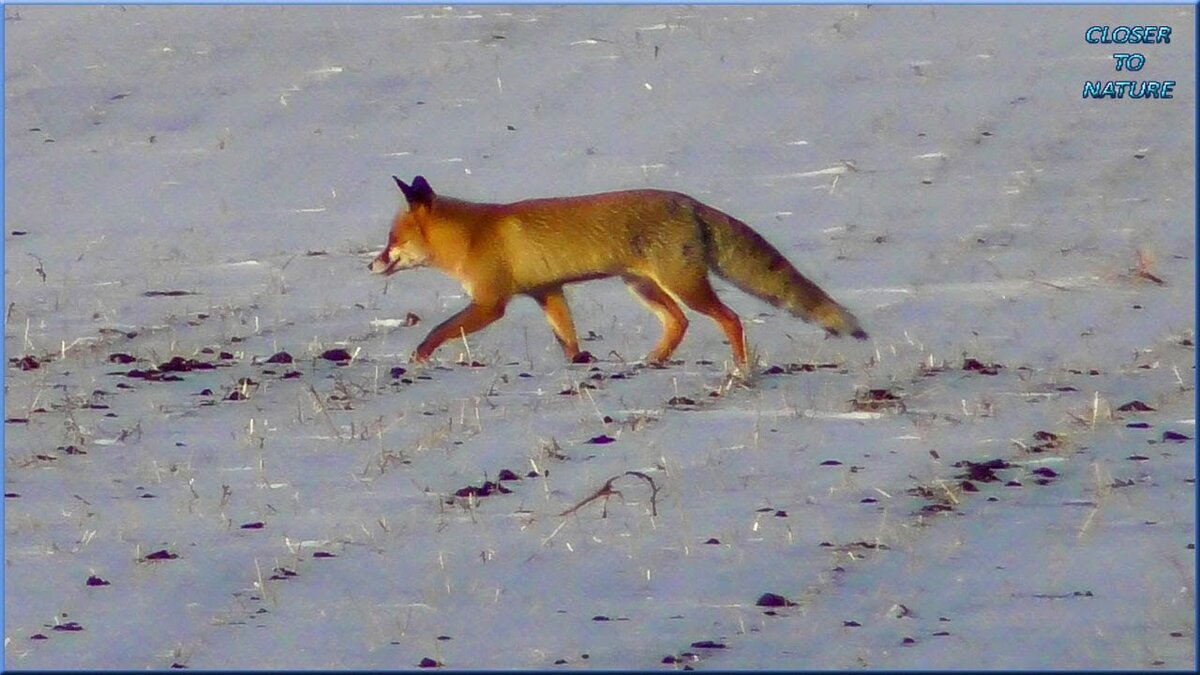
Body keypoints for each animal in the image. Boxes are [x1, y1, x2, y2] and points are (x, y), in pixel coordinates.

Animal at [369, 172, 868, 362]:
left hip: (683, 285)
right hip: (644, 287)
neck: (473, 235)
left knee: (730, 319)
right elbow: (567, 338)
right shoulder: (547, 292)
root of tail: (690, 202)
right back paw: (653, 362)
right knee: (679, 323)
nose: (372, 264)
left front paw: (417, 358)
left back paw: (739, 370)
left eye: (392, 241)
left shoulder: (492, 303)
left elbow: (438, 330)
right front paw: (578, 363)